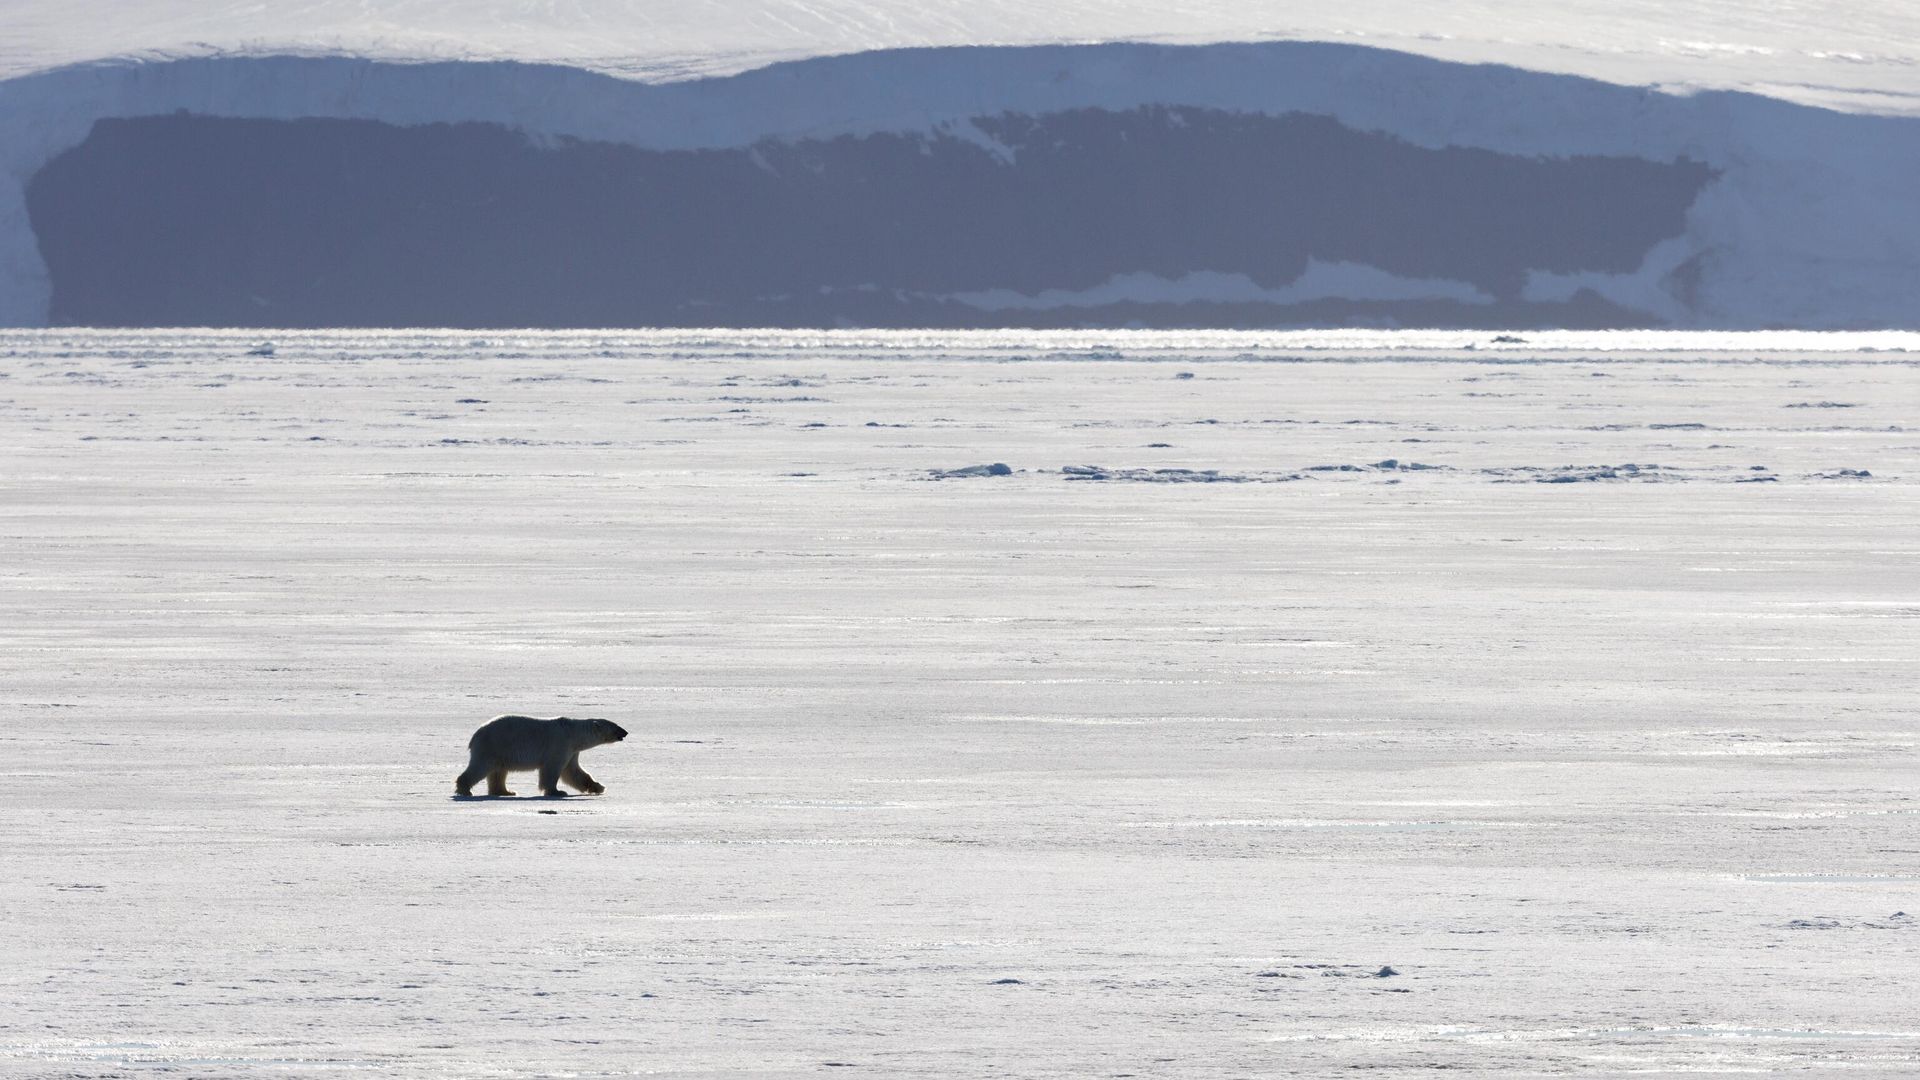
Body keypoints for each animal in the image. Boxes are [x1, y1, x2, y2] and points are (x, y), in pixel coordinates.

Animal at [455, 715, 628, 798]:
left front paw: (598, 787)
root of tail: (475, 735)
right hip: (492, 746)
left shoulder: (572, 751)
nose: (625, 732)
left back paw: (506, 791)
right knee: (480, 767)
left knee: (498, 772)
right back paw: (464, 789)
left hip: (500, 752)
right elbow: (553, 769)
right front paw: (557, 792)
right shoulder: (560, 744)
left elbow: (573, 772)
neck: (573, 732)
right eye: (615, 726)